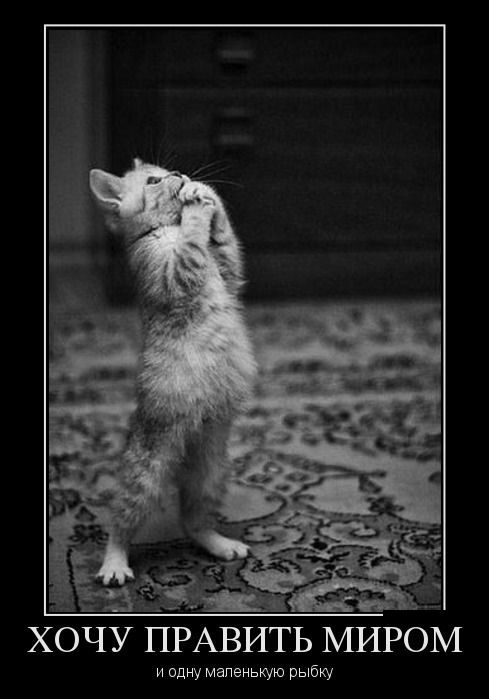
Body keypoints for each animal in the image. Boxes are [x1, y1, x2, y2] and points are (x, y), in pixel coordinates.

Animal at [89, 158, 256, 586]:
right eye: (153, 180)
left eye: (165, 170)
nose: (179, 176)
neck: (166, 230)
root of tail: (184, 448)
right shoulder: (168, 274)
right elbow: (192, 249)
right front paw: (195, 212)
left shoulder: (228, 274)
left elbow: (227, 247)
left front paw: (206, 195)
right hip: (147, 470)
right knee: (121, 520)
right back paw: (113, 564)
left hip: (212, 469)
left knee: (192, 520)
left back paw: (219, 544)